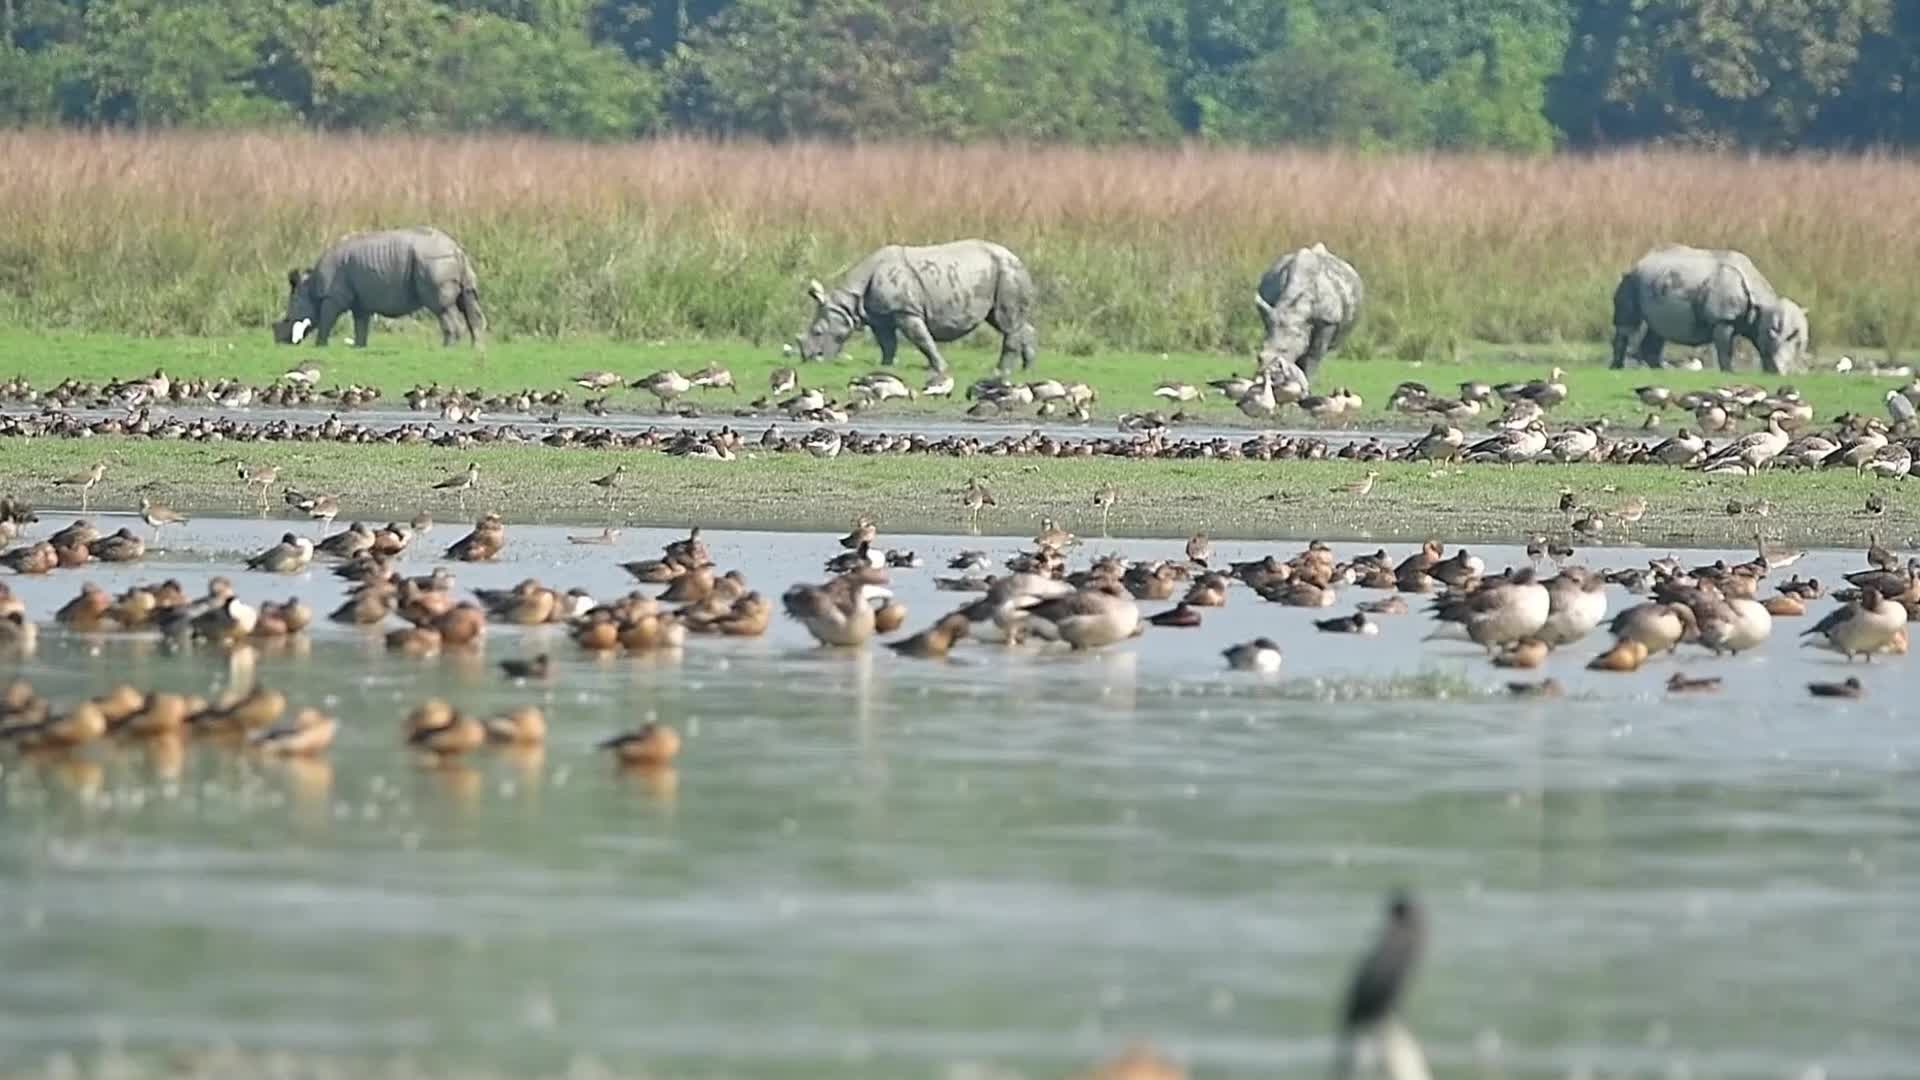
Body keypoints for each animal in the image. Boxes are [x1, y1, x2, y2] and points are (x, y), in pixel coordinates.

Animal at [274, 227, 484, 348]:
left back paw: (447, 347)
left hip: (433, 261)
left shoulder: (332, 296)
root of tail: (455, 249)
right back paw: (476, 348)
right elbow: (360, 324)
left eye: (288, 318)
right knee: (468, 301)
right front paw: (359, 347)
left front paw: (320, 346)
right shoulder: (360, 301)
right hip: (452, 261)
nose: (279, 340)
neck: (310, 287)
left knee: (441, 307)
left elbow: (327, 319)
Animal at [796, 240, 1038, 372]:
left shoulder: (905, 311)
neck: (848, 303)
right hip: (998, 274)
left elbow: (922, 340)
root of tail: (1018, 258)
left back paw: (999, 373)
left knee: (1007, 322)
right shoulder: (880, 315)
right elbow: (887, 343)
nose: (811, 360)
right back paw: (1027, 369)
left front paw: (940, 368)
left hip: (1007, 272)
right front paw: (885, 366)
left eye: (818, 332)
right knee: (1006, 321)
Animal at [1611, 245, 1809, 374]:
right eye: (1772, 334)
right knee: (1628, 324)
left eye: (1801, 344)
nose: (1779, 372)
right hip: (1632, 280)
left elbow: (1758, 345)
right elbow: (1725, 348)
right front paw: (1729, 372)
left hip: (1656, 280)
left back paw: (1659, 370)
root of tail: (1640, 261)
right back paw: (1617, 368)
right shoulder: (1723, 319)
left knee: (1658, 329)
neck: (1762, 306)